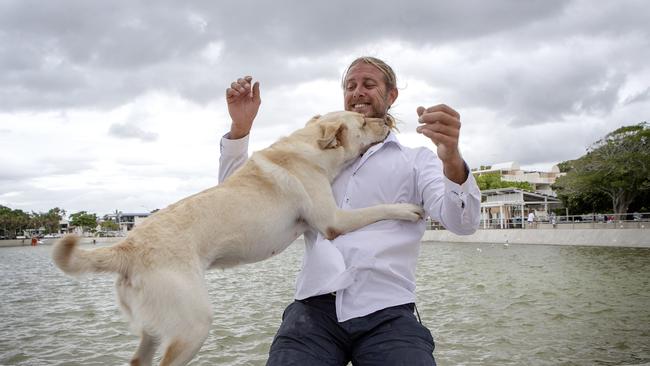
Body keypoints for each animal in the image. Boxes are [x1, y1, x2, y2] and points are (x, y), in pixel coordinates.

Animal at [53, 111, 422, 366]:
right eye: (363, 120)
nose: (386, 119)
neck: (309, 148)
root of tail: (125, 246)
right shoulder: (333, 221)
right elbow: (377, 208)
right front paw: (408, 208)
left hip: (154, 327)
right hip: (193, 325)